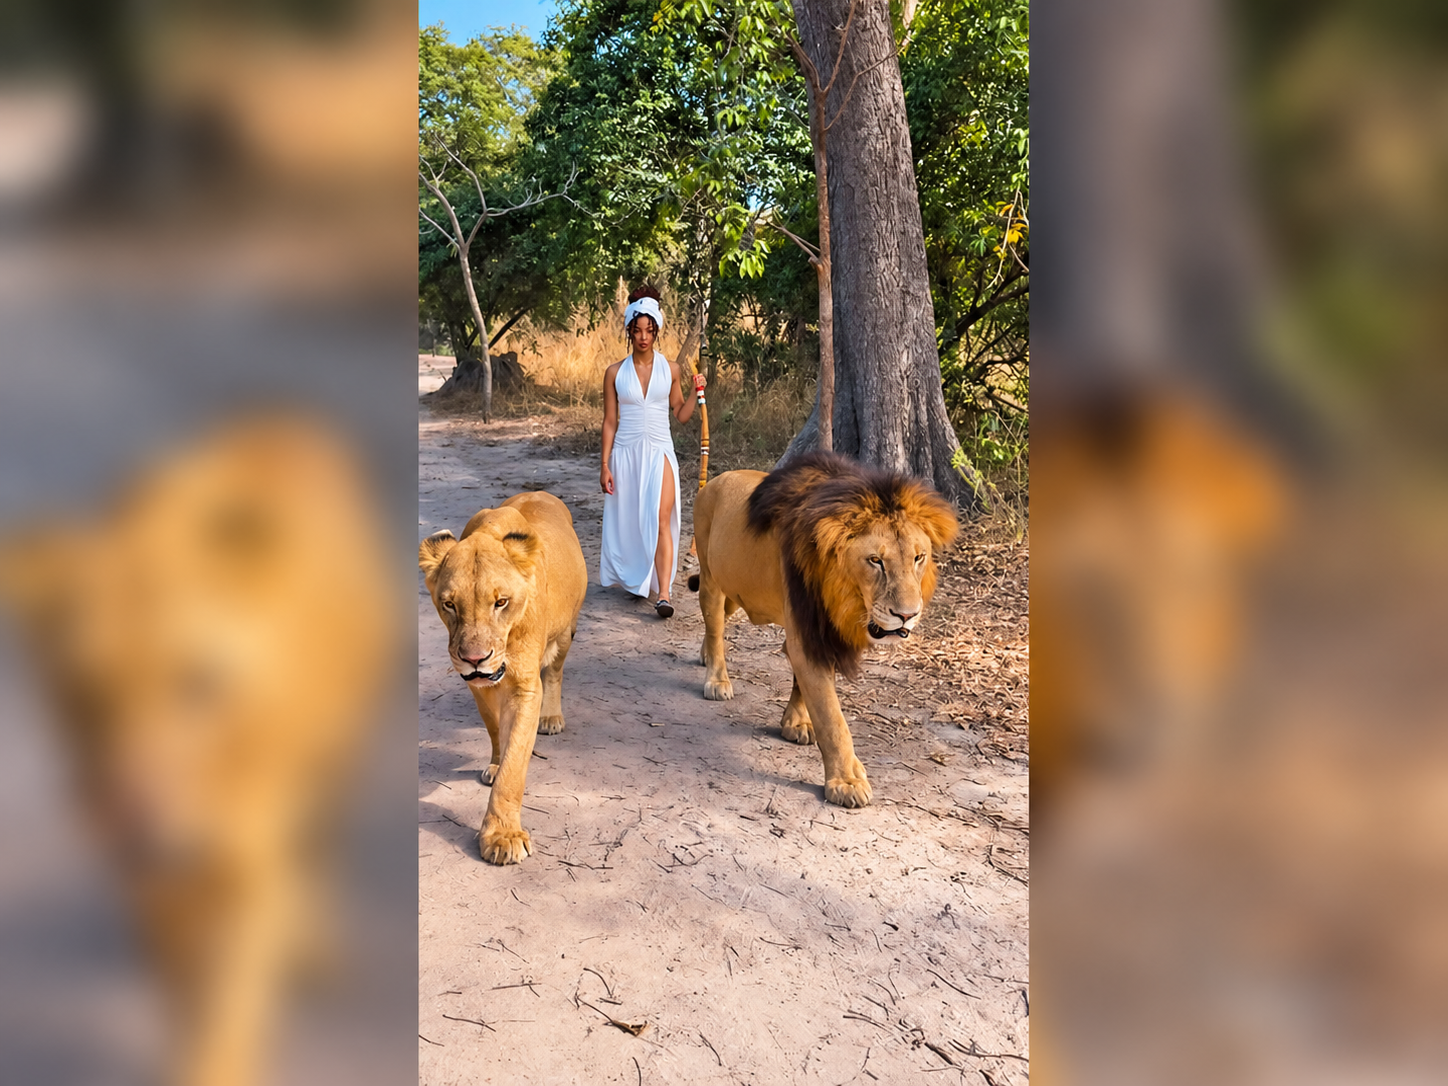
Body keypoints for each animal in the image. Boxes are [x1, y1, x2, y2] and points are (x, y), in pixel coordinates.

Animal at [0, 415, 392, 1086]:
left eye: (198, 682)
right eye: (84, 691)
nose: (133, 822)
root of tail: (284, 417)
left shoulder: (250, 865)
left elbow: (229, 1000)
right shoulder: (152, 879)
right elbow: (183, 986)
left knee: (319, 847)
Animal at [418, 491, 588, 865]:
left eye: (501, 602)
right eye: (449, 604)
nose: (475, 659)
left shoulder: (526, 689)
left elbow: (515, 765)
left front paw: (503, 836)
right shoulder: (478, 687)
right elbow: (496, 731)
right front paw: (495, 764)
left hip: (566, 631)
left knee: (556, 671)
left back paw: (552, 718)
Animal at [688, 451, 959, 808]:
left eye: (919, 557)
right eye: (875, 560)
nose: (907, 615)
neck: (842, 592)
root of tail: (716, 480)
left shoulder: (818, 628)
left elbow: (807, 690)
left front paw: (796, 722)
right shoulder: (807, 631)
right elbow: (832, 719)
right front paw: (846, 781)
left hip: (736, 588)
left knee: (717, 623)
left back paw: (705, 655)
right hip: (711, 578)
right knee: (715, 625)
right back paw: (717, 678)